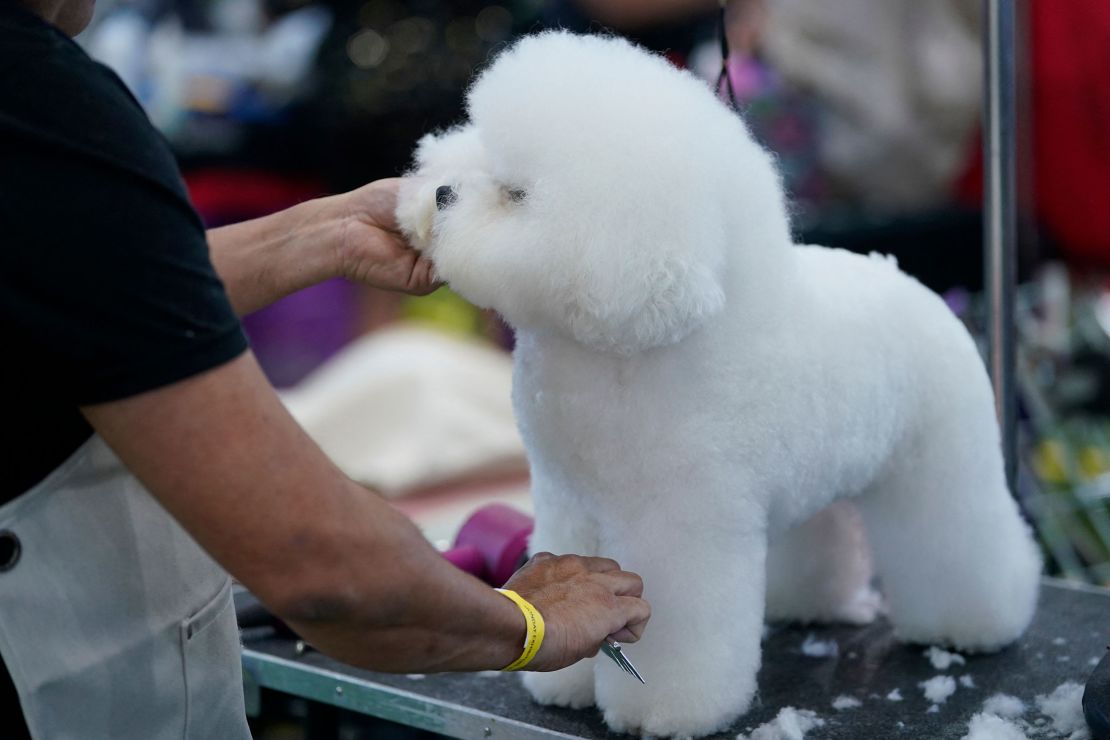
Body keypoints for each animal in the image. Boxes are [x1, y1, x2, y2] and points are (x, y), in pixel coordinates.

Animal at [397, 30, 1038, 740]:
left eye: (516, 193)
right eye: (477, 145)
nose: (440, 193)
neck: (623, 352)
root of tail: (904, 277)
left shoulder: (675, 524)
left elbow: (681, 627)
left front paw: (664, 711)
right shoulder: (567, 499)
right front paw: (566, 680)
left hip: (940, 463)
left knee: (961, 538)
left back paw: (976, 622)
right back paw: (805, 603)